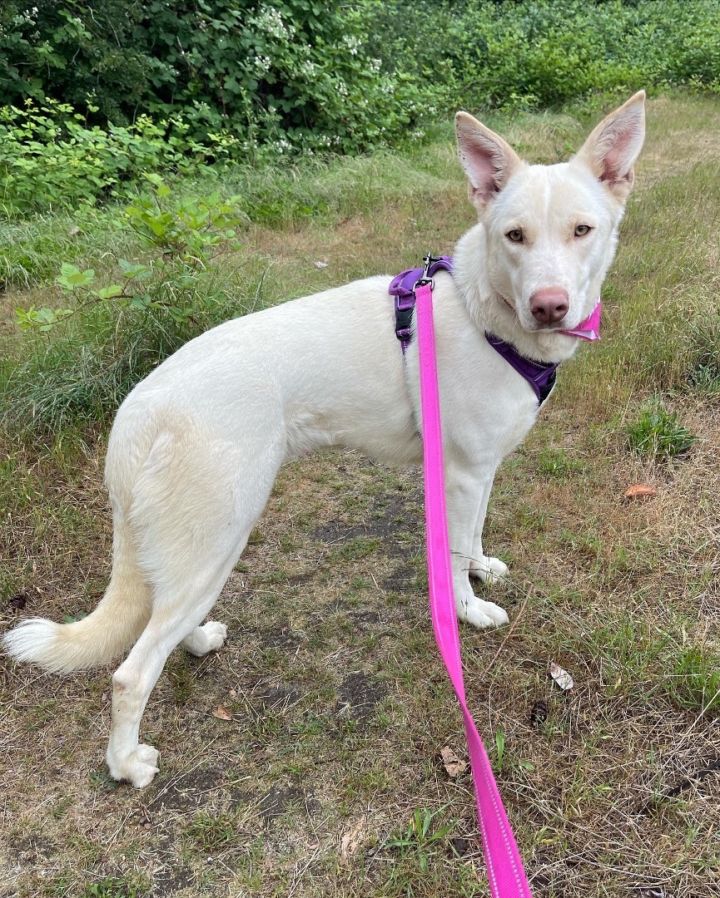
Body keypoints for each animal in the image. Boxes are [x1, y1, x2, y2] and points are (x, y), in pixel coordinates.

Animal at [2, 91, 644, 784]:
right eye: (514, 236)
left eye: (581, 230)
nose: (549, 305)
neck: (486, 311)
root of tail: (139, 409)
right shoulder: (462, 474)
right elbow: (450, 561)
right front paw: (468, 611)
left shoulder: (479, 470)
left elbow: (470, 540)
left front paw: (482, 570)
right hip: (218, 537)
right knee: (131, 672)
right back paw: (127, 764)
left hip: (201, 549)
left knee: (163, 619)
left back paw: (197, 640)